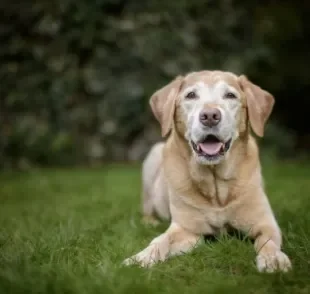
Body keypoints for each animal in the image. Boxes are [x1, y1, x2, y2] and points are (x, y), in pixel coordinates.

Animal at [123, 70, 290, 274]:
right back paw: (151, 222)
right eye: (191, 95)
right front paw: (141, 257)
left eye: (230, 95)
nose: (210, 115)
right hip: (153, 156)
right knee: (147, 209)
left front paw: (273, 258)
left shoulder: (266, 223)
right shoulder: (186, 230)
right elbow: (160, 240)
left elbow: (269, 241)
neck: (215, 183)